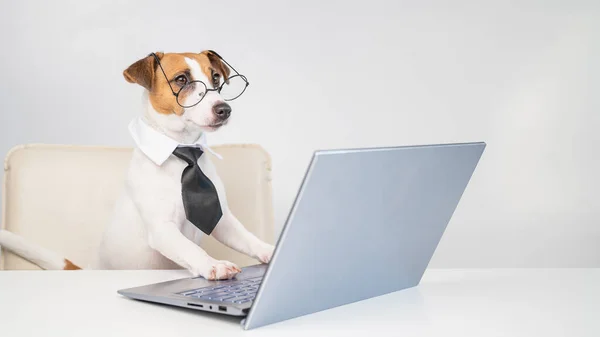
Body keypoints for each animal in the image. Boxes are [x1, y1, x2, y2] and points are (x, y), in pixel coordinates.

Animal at [0, 50, 276, 280]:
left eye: (216, 78)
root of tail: (89, 269)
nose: (224, 109)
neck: (182, 150)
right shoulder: (162, 229)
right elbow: (190, 249)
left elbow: (248, 239)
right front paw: (213, 264)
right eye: (181, 80)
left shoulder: (222, 220)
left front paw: (270, 251)